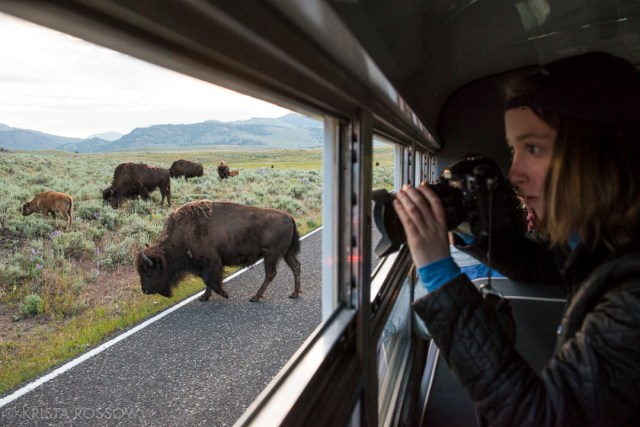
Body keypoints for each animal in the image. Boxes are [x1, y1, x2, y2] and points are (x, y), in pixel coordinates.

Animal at [135, 200, 301, 302]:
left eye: (148, 271)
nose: (145, 290)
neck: (184, 234)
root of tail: (289, 216)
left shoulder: (212, 261)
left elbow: (210, 279)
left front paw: (224, 294)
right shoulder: (205, 265)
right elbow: (207, 280)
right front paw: (204, 297)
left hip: (271, 254)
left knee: (271, 273)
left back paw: (255, 297)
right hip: (286, 253)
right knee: (295, 266)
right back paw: (294, 294)